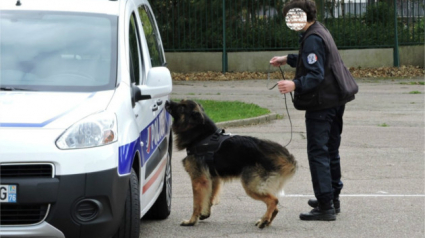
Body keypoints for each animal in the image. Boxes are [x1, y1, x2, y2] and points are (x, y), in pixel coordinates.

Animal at [164, 99, 296, 229]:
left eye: (181, 107)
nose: (167, 102)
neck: (201, 136)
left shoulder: (198, 180)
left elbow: (197, 204)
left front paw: (191, 221)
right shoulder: (212, 178)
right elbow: (209, 197)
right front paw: (205, 213)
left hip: (250, 186)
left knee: (274, 200)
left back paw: (264, 220)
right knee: (276, 207)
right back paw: (266, 221)